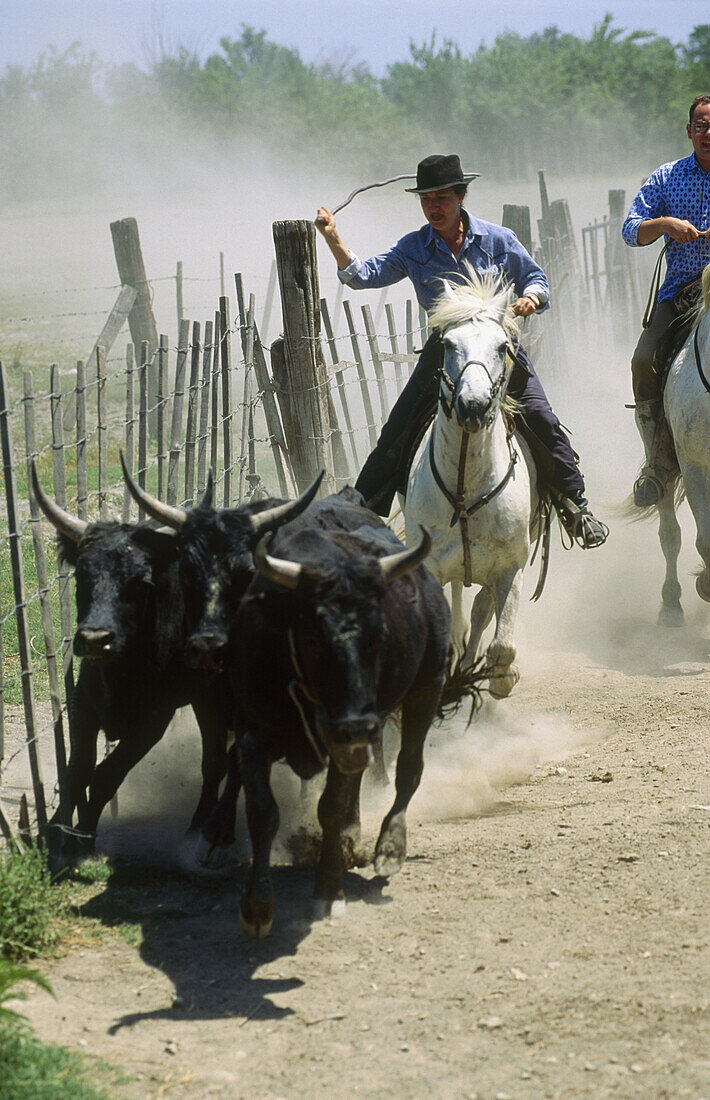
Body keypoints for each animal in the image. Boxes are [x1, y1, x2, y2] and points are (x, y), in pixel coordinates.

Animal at [400, 265, 534, 695]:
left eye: (501, 347)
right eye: (448, 344)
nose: (472, 406)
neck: (466, 485)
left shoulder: (510, 567)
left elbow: (502, 645)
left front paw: (499, 677)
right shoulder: (431, 568)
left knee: (478, 614)